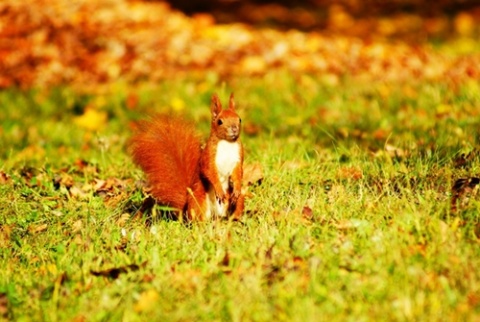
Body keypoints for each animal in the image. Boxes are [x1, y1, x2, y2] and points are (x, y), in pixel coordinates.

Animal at [129, 93, 244, 221]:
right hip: (198, 201)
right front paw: (219, 189)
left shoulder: (238, 157)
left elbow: (237, 173)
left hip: (236, 201)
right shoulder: (209, 156)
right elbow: (210, 171)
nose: (234, 128)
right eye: (220, 121)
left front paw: (236, 189)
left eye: (239, 119)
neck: (227, 143)